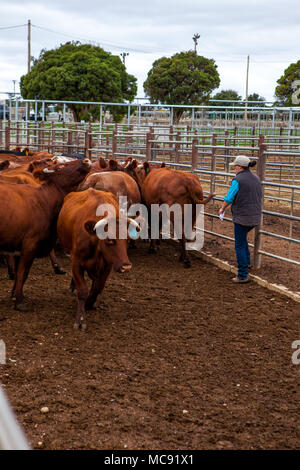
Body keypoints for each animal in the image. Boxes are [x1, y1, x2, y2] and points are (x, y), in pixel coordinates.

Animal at [0, 160, 92, 310]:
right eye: (61, 166)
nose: (86, 160)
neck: (45, 201)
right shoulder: (30, 246)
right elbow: (22, 273)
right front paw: (19, 301)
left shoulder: (21, 248)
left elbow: (22, 274)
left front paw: (14, 294)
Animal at [56, 187, 137, 330]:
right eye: (109, 240)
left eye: (127, 239)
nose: (126, 266)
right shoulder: (76, 261)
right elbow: (82, 290)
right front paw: (81, 319)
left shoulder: (107, 265)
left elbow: (98, 287)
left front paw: (90, 302)